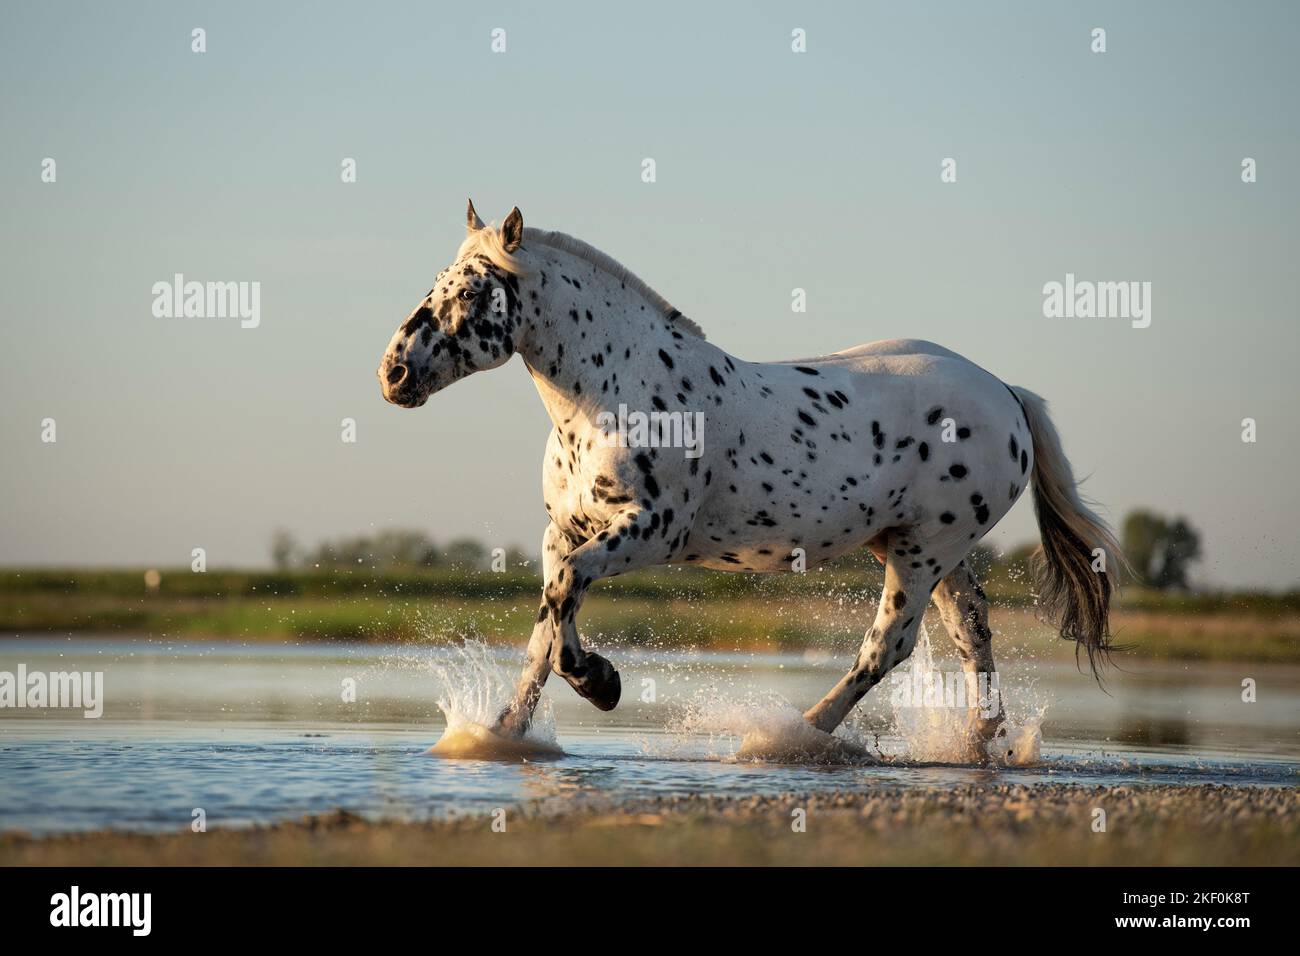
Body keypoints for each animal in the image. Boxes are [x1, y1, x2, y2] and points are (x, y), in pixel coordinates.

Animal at [377, 201, 1123, 761]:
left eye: (471, 290)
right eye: (438, 281)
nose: (394, 373)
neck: (607, 397)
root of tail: (1006, 393)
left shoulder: (649, 531)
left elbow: (563, 599)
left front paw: (602, 684)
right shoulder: (564, 530)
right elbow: (548, 622)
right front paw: (503, 734)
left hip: (924, 550)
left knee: (889, 644)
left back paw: (787, 738)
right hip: (924, 547)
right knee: (971, 633)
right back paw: (975, 745)